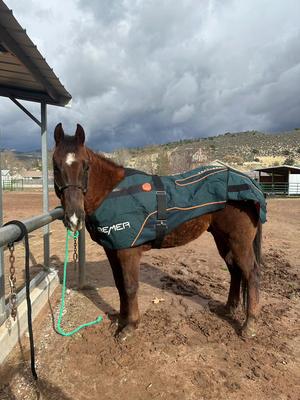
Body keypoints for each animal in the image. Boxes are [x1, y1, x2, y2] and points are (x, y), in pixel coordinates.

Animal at [52, 123, 264, 340]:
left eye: (85, 165)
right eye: (55, 166)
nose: (74, 218)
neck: (112, 193)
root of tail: (249, 182)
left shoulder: (128, 252)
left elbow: (130, 287)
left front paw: (130, 326)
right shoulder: (112, 250)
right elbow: (120, 286)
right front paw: (121, 319)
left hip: (239, 242)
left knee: (251, 273)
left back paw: (250, 325)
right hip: (223, 239)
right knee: (234, 270)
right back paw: (229, 308)